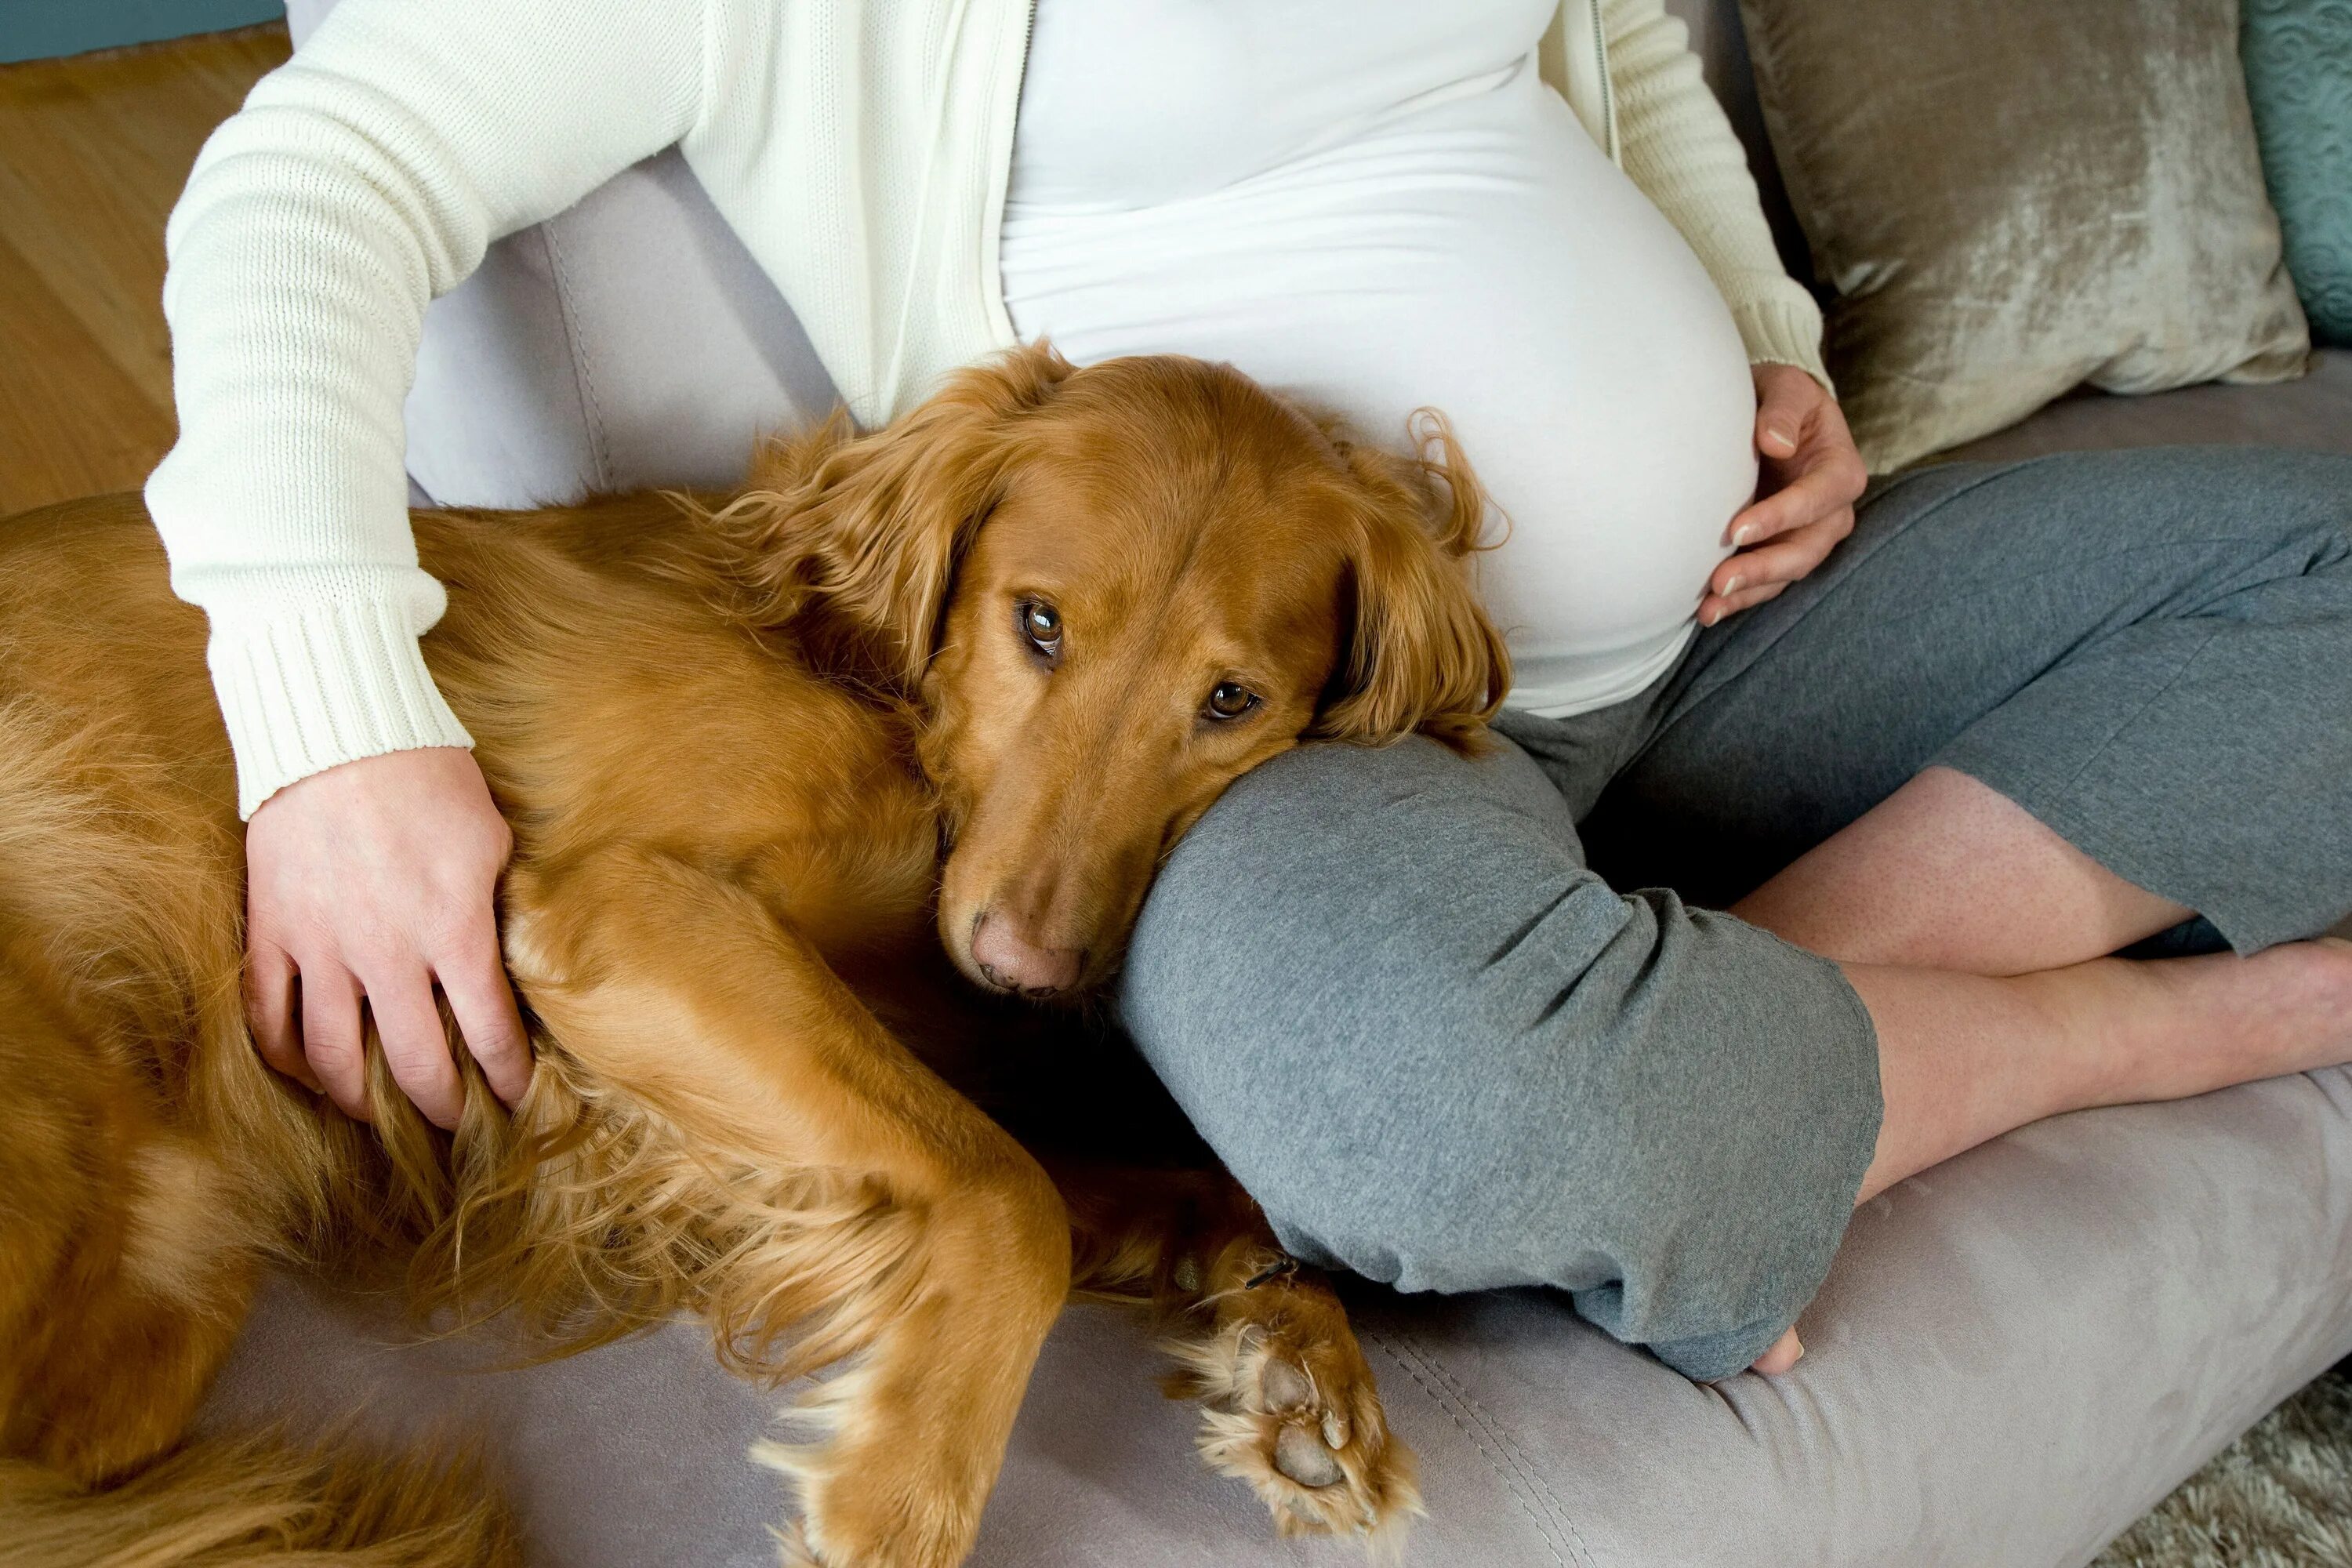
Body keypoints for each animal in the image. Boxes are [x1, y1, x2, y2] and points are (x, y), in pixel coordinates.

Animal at [0, 345, 1505, 1568]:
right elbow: (1007, 1192)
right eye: (1039, 623)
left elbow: (1129, 1181)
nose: (1025, 969)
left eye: (1231, 701)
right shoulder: (615, 911)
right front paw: (905, 1493)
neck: (880, 695)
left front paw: (1291, 1348)